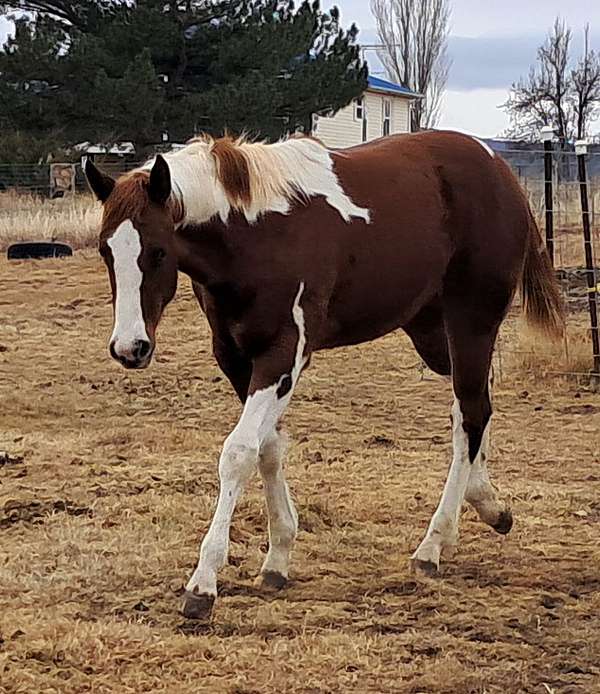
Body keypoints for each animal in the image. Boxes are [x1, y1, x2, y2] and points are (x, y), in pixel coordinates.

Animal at [84, 132, 564, 624]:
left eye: (158, 251)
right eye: (105, 249)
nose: (130, 347)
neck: (253, 235)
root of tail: (498, 168)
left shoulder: (284, 356)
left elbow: (239, 452)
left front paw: (203, 583)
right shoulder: (237, 360)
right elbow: (269, 449)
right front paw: (277, 558)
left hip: (473, 321)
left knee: (472, 412)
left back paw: (432, 546)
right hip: (433, 333)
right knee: (471, 410)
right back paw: (488, 506)